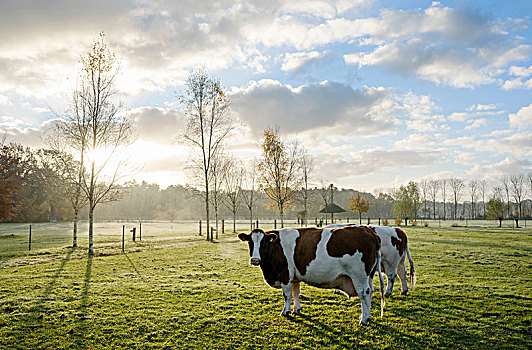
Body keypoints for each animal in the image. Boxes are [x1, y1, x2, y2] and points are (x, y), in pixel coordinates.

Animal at [239, 226, 384, 324]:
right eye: (250, 242)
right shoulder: (294, 277)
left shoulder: (285, 275)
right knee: (371, 291)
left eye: (263, 243)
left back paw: (363, 319)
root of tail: (367, 230)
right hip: (370, 275)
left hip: (359, 275)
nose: (255, 260)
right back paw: (367, 316)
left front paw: (285, 311)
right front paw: (296, 309)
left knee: (364, 293)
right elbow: (295, 293)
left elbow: (287, 295)